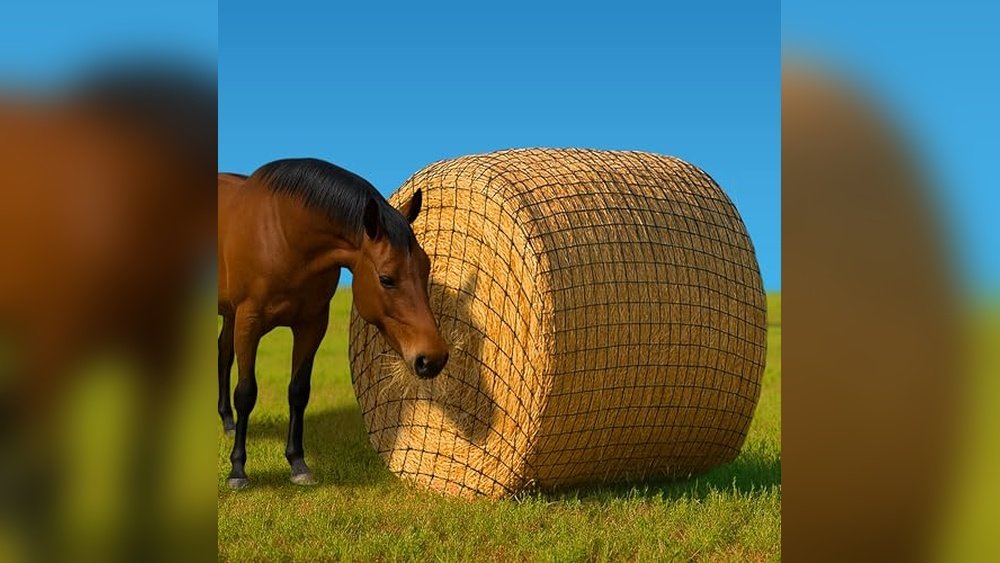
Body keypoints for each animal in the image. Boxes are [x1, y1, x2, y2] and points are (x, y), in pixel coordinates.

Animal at [218, 158, 449, 489]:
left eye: (426, 267)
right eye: (386, 279)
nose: (432, 358)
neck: (283, 236)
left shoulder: (312, 325)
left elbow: (299, 391)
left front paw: (298, 464)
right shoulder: (249, 321)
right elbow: (246, 393)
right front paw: (237, 470)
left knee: (223, 352)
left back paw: (227, 422)